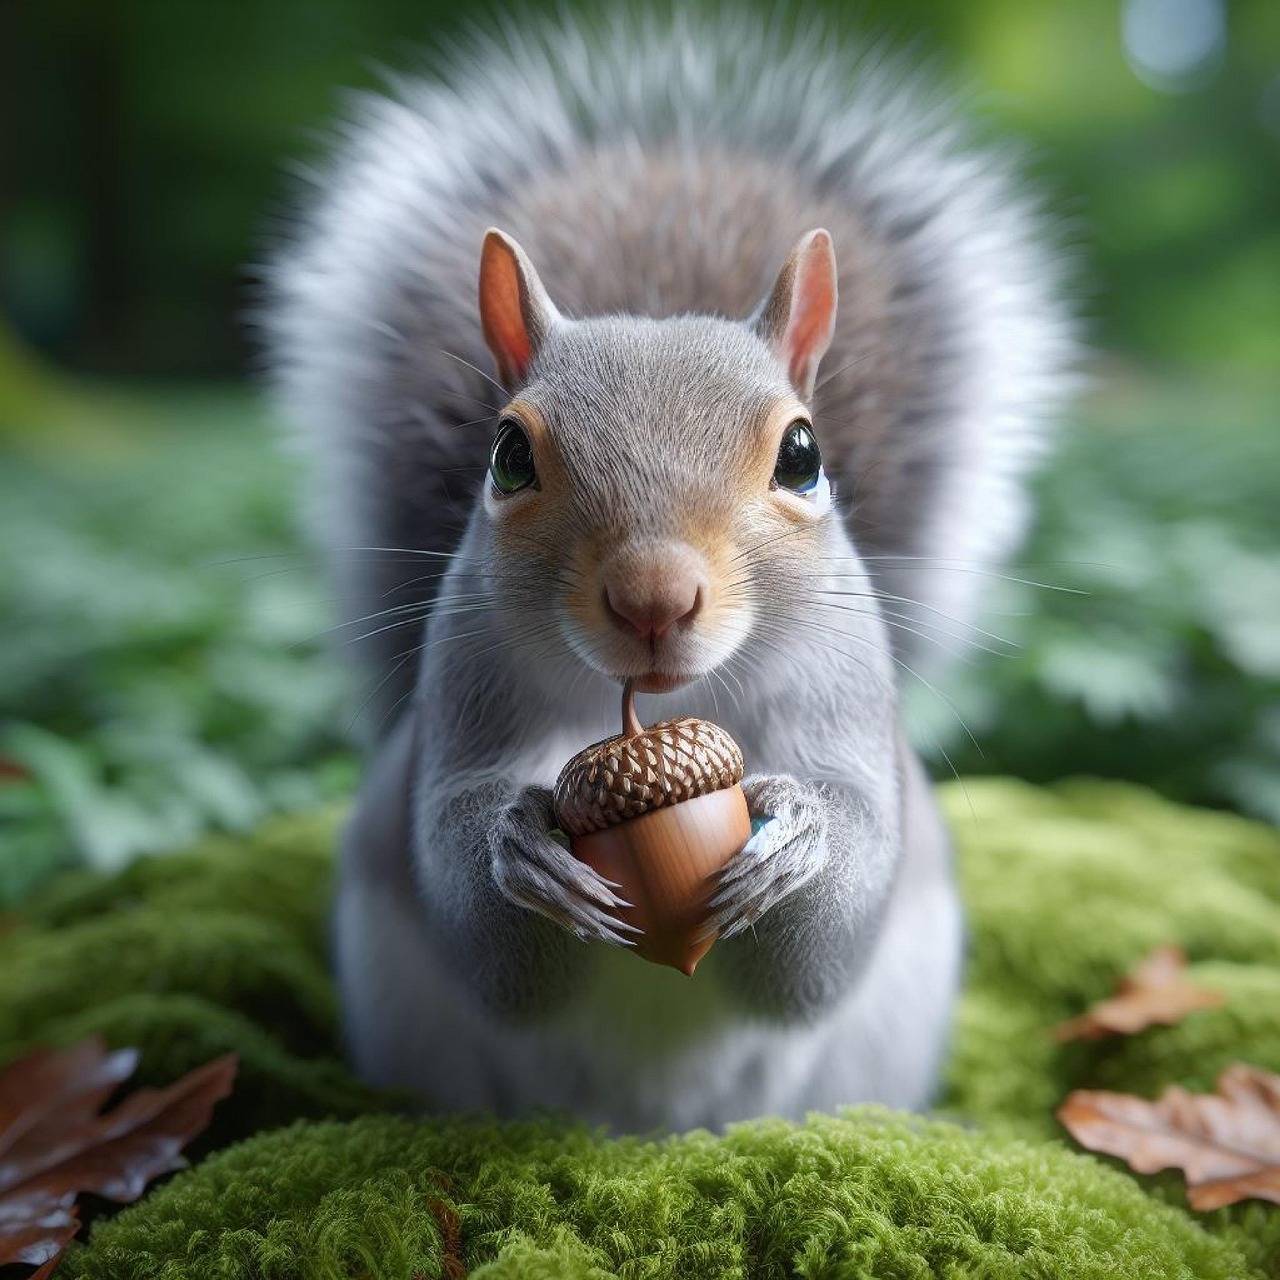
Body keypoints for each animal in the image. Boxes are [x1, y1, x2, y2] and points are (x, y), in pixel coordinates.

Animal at [261, 12, 1075, 1133]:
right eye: (507, 456)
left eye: (803, 455)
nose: (652, 597)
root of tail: (653, 1130)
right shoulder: (460, 692)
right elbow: (479, 928)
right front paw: (520, 845)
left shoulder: (848, 699)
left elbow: (827, 938)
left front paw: (801, 839)